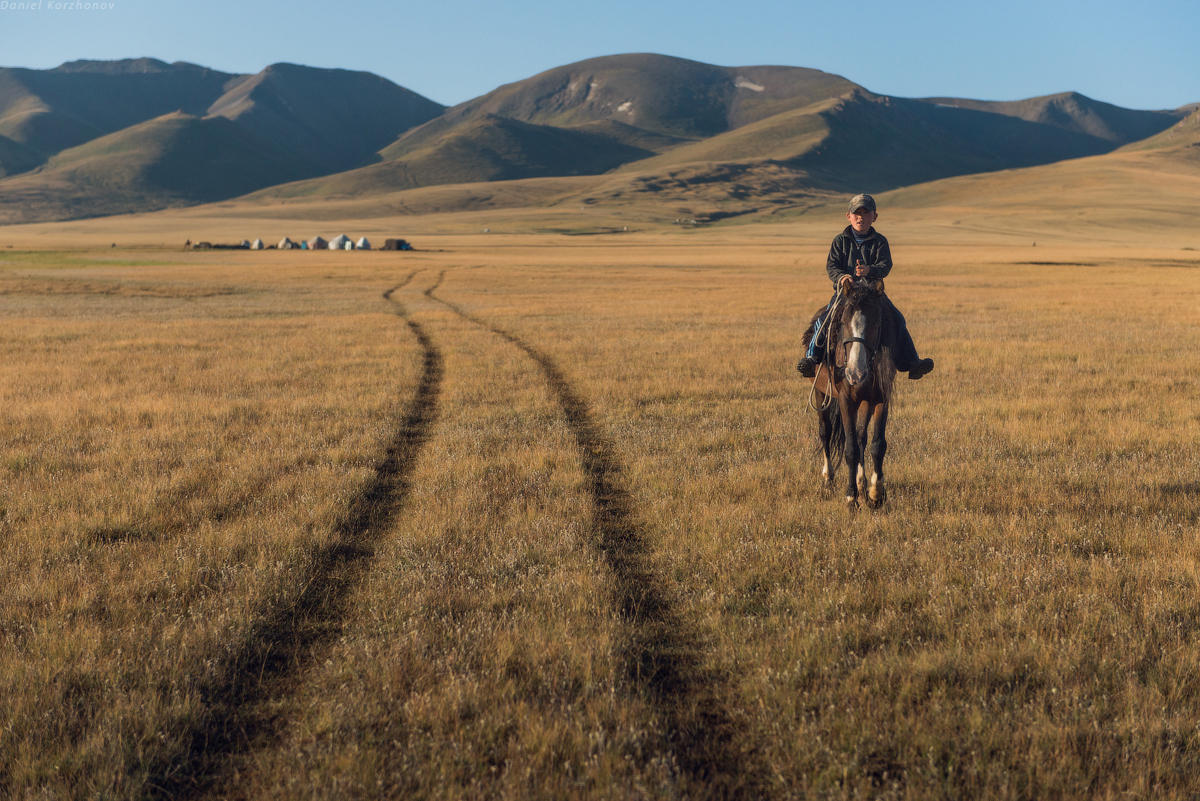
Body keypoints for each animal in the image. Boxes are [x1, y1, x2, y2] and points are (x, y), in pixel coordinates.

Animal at [801, 278, 897, 510]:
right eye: (843, 322)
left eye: (876, 323)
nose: (855, 373)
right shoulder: (845, 400)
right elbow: (851, 447)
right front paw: (851, 497)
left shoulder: (880, 399)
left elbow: (877, 444)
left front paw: (876, 494)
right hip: (821, 394)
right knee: (825, 431)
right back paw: (828, 479)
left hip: (864, 402)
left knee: (862, 435)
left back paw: (862, 483)